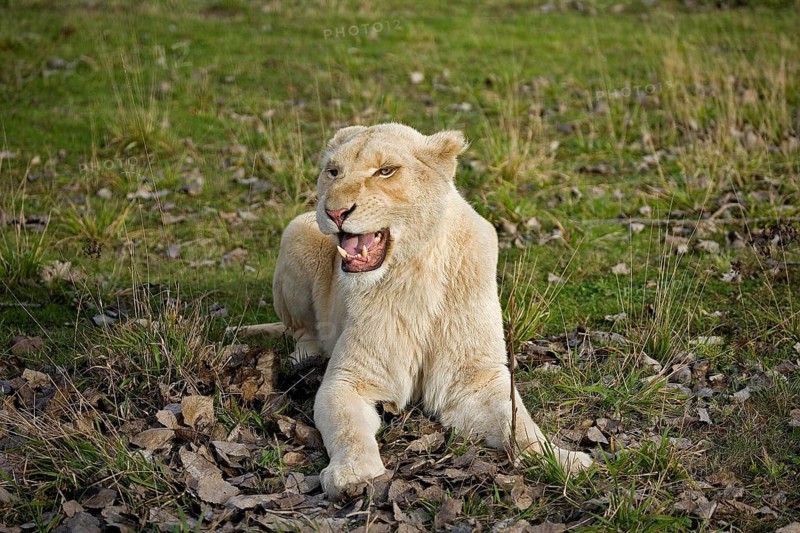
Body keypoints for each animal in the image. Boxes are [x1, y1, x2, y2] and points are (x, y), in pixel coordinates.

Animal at [248, 123, 592, 499]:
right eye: (333, 172)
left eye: (386, 171)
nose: (334, 212)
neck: (413, 274)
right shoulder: (348, 379)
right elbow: (348, 428)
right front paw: (353, 475)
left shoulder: (476, 378)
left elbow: (520, 424)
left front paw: (565, 460)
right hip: (296, 231)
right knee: (301, 329)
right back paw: (305, 356)